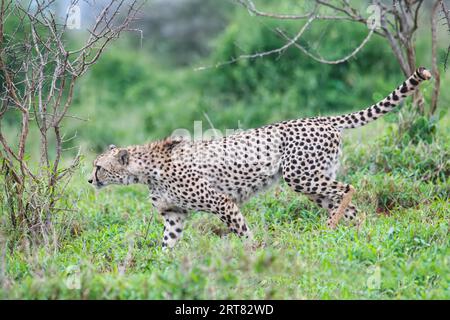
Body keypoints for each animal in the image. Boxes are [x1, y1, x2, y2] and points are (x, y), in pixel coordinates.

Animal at [89, 67, 432, 248]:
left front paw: (252, 253)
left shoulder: (223, 202)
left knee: (349, 189)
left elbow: (242, 232)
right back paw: (354, 234)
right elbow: (166, 248)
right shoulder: (174, 216)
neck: (145, 169)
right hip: (313, 181)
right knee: (350, 208)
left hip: (301, 176)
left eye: (98, 167)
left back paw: (332, 228)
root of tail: (321, 118)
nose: (90, 179)